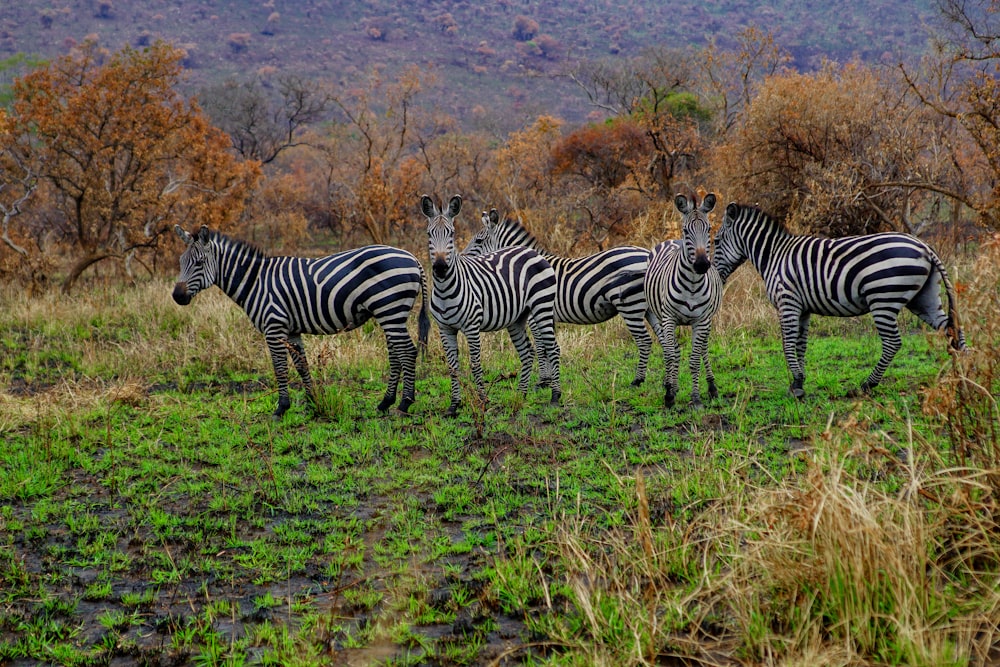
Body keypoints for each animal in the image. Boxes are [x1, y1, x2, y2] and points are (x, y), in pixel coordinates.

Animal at [172, 227, 430, 420]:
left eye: (199, 262)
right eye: (181, 262)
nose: (177, 296)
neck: (255, 282)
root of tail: (413, 258)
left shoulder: (273, 327)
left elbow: (280, 367)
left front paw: (281, 408)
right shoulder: (292, 330)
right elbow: (302, 365)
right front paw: (312, 402)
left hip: (390, 309)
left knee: (408, 352)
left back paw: (405, 403)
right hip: (389, 314)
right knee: (396, 354)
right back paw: (385, 402)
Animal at [422, 192, 564, 418]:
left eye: (451, 234)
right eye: (429, 234)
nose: (441, 267)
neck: (445, 290)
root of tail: (530, 251)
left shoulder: (472, 327)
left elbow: (475, 364)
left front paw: (482, 401)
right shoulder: (445, 329)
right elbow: (453, 368)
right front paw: (454, 406)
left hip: (541, 308)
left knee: (552, 348)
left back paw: (555, 396)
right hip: (516, 319)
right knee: (527, 353)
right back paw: (521, 395)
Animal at [462, 209, 664, 386]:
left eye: (478, 240)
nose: (460, 258)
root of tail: (646, 253)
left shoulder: (535, 315)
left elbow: (541, 347)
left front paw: (543, 381)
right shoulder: (545, 315)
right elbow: (548, 345)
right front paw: (549, 379)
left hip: (630, 306)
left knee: (645, 341)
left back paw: (638, 381)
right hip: (647, 308)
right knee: (662, 337)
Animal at [644, 193, 724, 410]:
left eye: (709, 229)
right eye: (687, 230)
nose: (702, 264)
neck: (693, 284)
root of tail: (672, 240)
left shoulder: (702, 320)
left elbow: (695, 359)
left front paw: (696, 399)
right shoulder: (669, 318)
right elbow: (671, 355)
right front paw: (669, 395)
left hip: (707, 320)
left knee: (703, 349)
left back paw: (712, 387)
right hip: (660, 316)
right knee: (671, 349)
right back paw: (671, 385)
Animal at [716, 201, 964, 400]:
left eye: (716, 241)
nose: (715, 275)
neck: (774, 255)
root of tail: (925, 247)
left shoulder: (787, 302)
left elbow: (787, 344)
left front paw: (795, 386)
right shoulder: (802, 308)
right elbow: (800, 345)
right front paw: (800, 381)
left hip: (883, 299)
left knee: (893, 342)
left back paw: (867, 385)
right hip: (923, 298)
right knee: (951, 328)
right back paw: (965, 376)